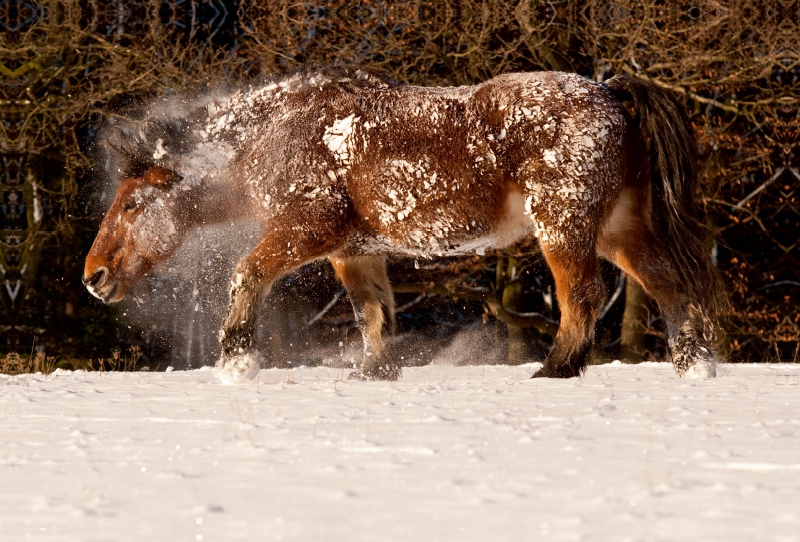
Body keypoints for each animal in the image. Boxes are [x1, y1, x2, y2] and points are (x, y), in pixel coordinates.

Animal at [84, 65, 728, 382]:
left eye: (132, 204)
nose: (93, 277)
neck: (276, 134)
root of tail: (612, 94)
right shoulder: (353, 250)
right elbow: (373, 314)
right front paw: (374, 372)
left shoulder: (307, 231)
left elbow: (246, 273)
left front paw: (237, 359)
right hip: (621, 230)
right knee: (670, 287)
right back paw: (694, 367)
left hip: (565, 227)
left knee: (583, 298)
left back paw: (556, 368)